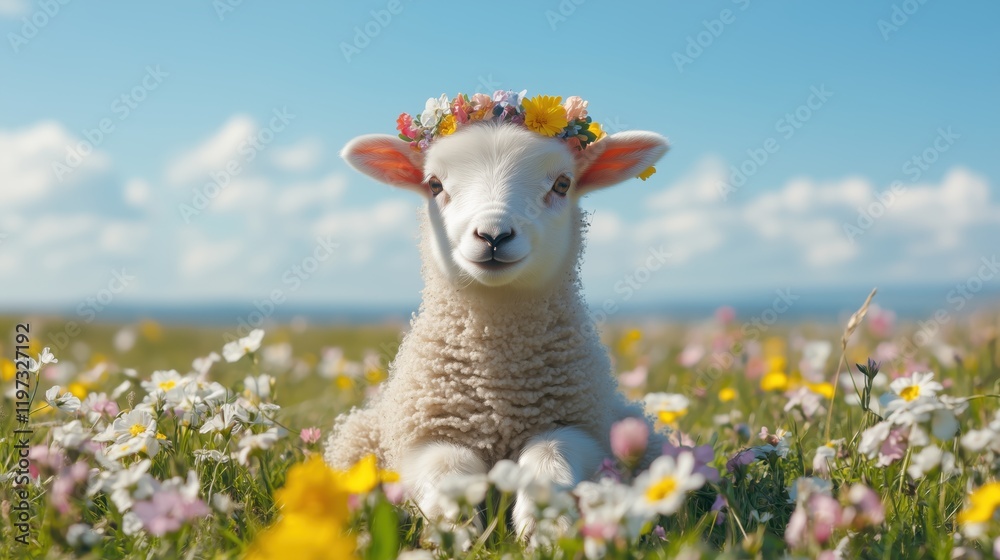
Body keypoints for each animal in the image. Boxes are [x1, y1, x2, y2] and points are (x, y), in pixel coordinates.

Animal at [325, 92, 669, 537]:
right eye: (434, 184)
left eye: (562, 184)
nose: (493, 235)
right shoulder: (420, 437)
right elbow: (447, 466)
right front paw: (455, 527)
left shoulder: (582, 427)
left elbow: (550, 456)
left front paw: (544, 526)